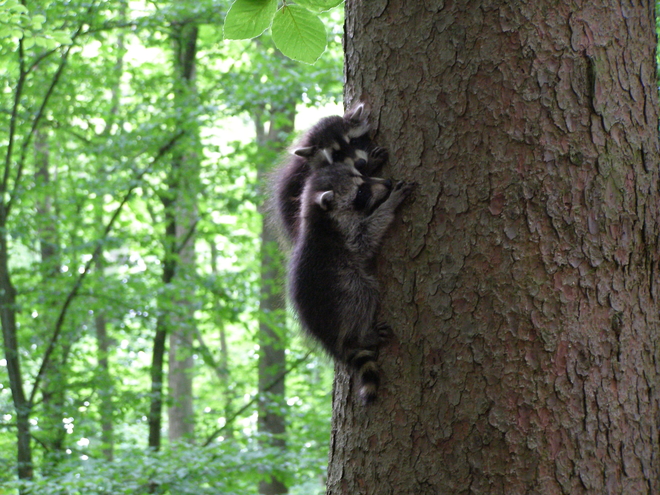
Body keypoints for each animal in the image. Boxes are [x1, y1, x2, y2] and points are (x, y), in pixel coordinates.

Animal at [288, 153, 412, 404]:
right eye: (361, 192)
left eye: (362, 176)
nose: (387, 183)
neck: (318, 214)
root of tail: (330, 339)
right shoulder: (346, 233)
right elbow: (366, 236)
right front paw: (388, 205)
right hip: (340, 291)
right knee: (361, 294)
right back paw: (362, 335)